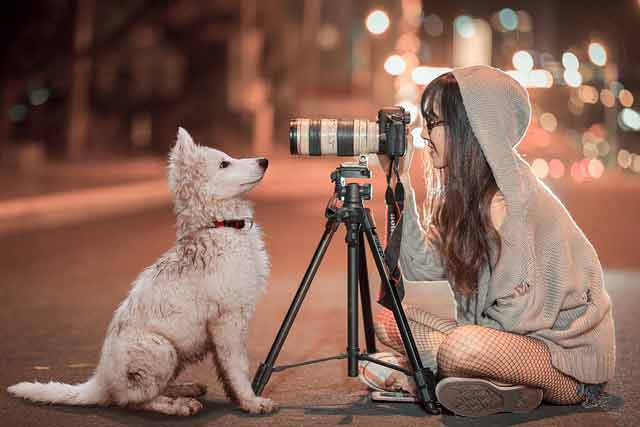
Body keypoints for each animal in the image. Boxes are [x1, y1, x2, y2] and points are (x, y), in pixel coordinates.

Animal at [7, 127, 278, 414]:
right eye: (224, 163)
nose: (264, 161)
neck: (218, 225)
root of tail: (99, 382)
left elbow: (226, 372)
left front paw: (240, 400)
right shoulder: (228, 319)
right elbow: (237, 368)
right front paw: (252, 401)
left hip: (176, 354)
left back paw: (184, 388)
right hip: (162, 349)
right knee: (133, 400)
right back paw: (178, 405)